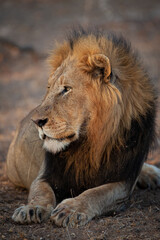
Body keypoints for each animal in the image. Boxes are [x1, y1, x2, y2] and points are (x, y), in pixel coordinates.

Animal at [6, 28, 160, 227]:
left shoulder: (123, 182)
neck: (90, 142)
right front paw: (31, 209)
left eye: (66, 89)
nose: (36, 121)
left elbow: (95, 193)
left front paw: (70, 209)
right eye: (48, 87)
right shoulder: (45, 174)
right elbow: (41, 192)